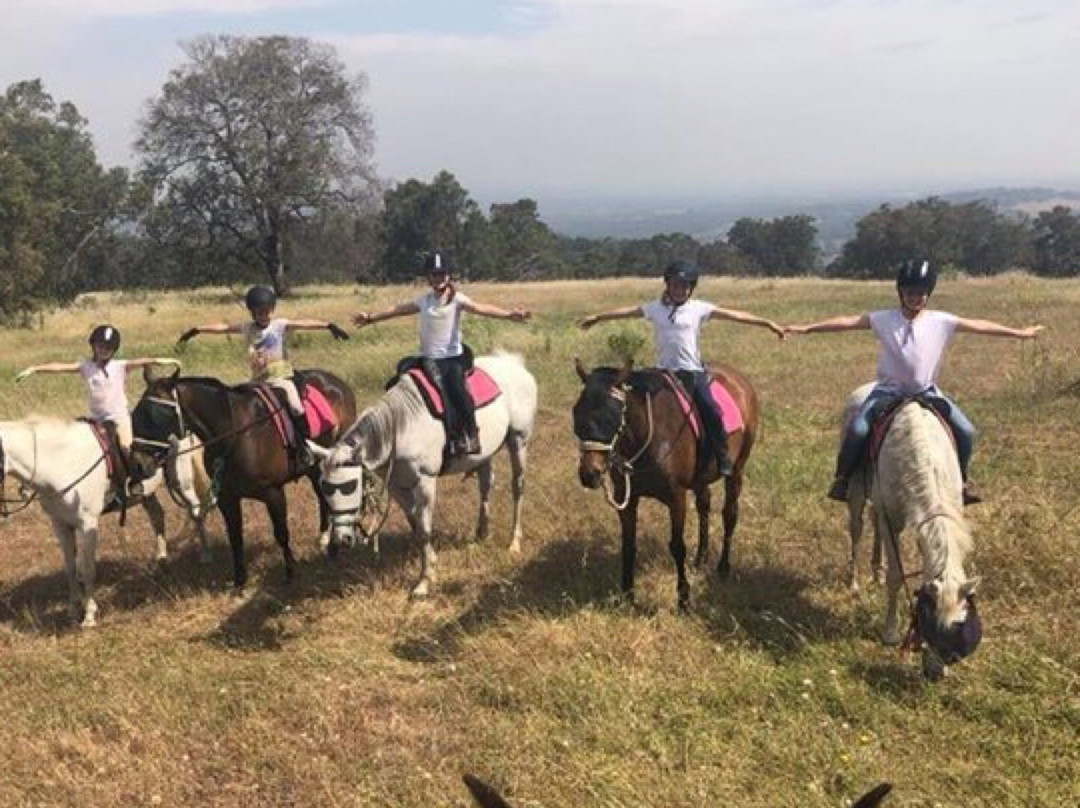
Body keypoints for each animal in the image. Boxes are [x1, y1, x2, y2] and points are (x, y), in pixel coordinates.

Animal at [0, 419, 214, 626]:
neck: (65, 462)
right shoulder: (60, 524)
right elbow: (70, 568)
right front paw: (73, 610)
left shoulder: (87, 524)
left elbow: (87, 569)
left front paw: (89, 615)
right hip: (147, 495)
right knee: (158, 517)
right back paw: (161, 561)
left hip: (182, 485)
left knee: (196, 511)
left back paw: (205, 554)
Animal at [130, 369, 356, 591]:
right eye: (136, 412)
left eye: (157, 414)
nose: (138, 463)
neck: (235, 433)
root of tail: (337, 382)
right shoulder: (227, 498)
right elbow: (235, 537)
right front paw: (240, 580)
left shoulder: (273, 493)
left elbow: (281, 533)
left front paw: (290, 573)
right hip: (314, 469)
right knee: (323, 498)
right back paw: (325, 540)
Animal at [315, 349, 537, 596]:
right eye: (324, 488)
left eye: (351, 486)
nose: (341, 539)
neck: (399, 428)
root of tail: (513, 362)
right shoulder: (396, 484)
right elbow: (415, 521)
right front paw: (425, 560)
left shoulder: (425, 481)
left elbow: (424, 528)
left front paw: (425, 579)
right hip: (484, 454)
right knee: (486, 486)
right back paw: (481, 534)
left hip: (519, 440)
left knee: (517, 487)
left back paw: (514, 542)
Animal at [574, 356, 760, 609]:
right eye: (576, 413)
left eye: (611, 416)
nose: (589, 474)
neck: (646, 436)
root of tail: (739, 379)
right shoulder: (627, 497)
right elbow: (628, 544)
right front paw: (627, 595)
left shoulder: (676, 497)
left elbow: (677, 546)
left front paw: (683, 600)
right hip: (701, 478)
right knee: (704, 506)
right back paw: (701, 559)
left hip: (737, 468)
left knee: (730, 514)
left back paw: (723, 568)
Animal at [872, 397, 984, 682]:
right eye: (929, 626)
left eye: (961, 625)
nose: (936, 674)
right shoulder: (890, 520)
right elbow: (896, 577)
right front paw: (890, 632)